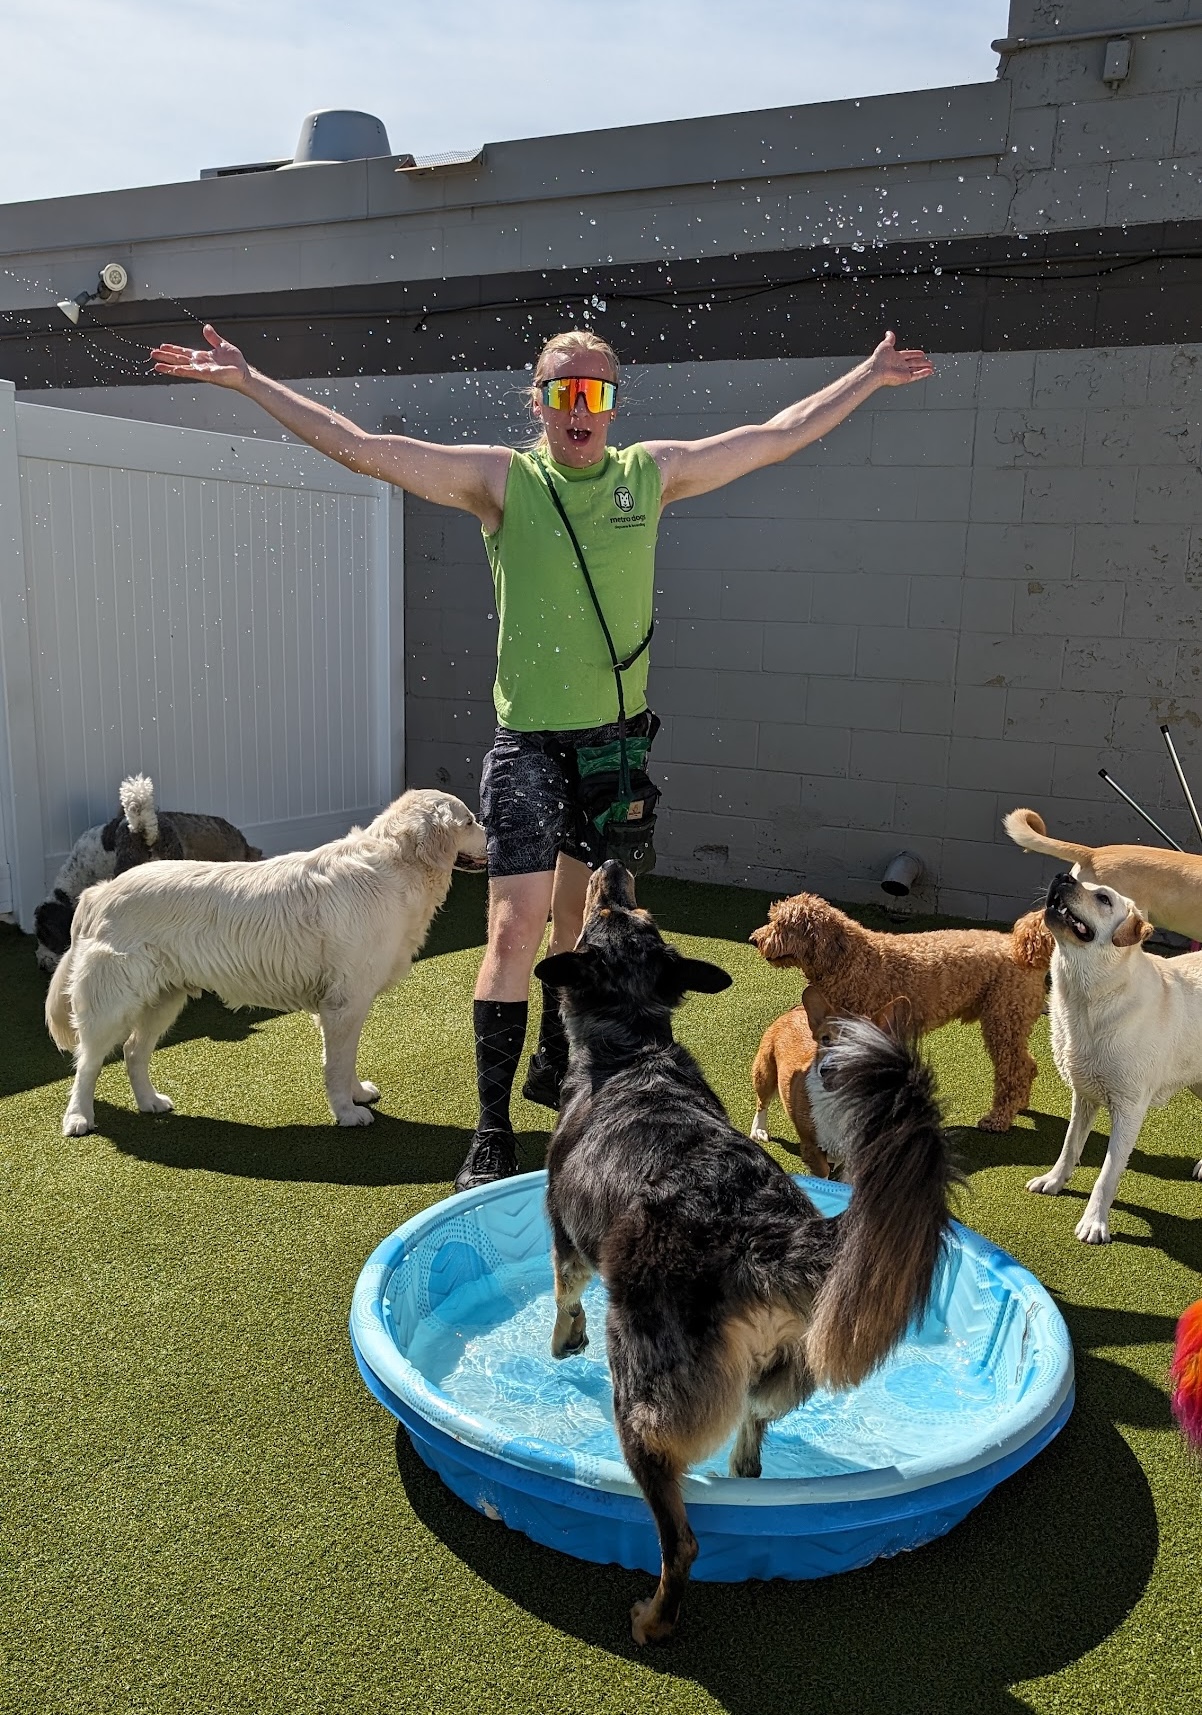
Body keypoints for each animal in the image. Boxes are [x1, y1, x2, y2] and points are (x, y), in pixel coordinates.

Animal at [534, 864, 953, 1639]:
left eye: (603, 913)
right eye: (634, 911)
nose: (612, 867)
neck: (631, 1047)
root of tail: (760, 1233)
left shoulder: (564, 1232)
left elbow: (562, 1291)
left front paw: (562, 1340)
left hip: (642, 1400)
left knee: (681, 1539)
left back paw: (655, 1618)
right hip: (782, 1368)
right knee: (752, 1432)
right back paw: (741, 1472)